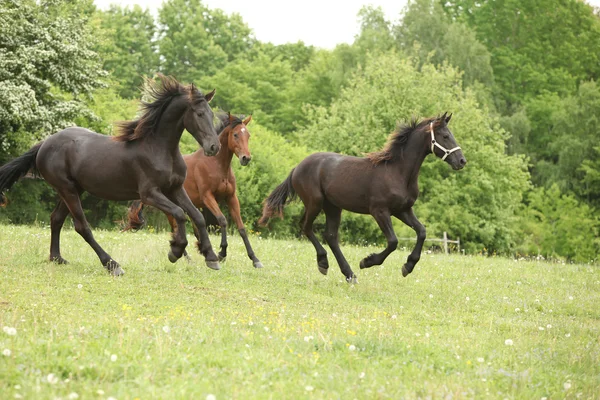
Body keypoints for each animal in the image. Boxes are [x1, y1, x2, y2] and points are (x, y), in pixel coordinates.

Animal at [0, 74, 224, 276]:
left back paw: (57, 258)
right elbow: (179, 213)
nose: (214, 147)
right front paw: (175, 250)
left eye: (211, 114)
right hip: (67, 189)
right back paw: (113, 265)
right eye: (199, 113)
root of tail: (44, 144)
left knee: (56, 219)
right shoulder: (149, 194)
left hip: (73, 189)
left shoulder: (175, 189)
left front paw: (211, 257)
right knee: (82, 227)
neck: (159, 148)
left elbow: (197, 216)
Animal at [123, 112, 262, 268]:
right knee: (175, 230)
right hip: (169, 208)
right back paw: (187, 258)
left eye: (248, 135)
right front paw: (222, 253)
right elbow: (222, 220)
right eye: (236, 134)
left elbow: (241, 228)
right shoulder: (208, 197)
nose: (246, 158)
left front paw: (255, 259)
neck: (216, 165)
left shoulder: (231, 197)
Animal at [258, 111, 464, 282]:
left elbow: (421, 231)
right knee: (306, 227)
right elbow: (393, 242)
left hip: (333, 207)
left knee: (330, 236)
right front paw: (367, 261)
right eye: (445, 136)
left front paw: (408, 266)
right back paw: (324, 264)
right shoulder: (379, 211)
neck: (398, 172)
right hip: (315, 203)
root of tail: (296, 168)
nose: (462, 161)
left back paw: (349, 274)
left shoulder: (403, 210)